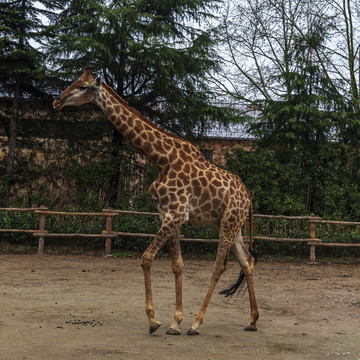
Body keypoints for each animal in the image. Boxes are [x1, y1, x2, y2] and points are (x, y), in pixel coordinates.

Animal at [52, 69, 258, 336]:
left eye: (83, 86)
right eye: (74, 81)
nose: (56, 101)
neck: (161, 158)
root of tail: (248, 197)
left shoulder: (177, 213)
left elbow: (147, 257)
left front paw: (154, 320)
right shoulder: (167, 214)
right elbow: (177, 265)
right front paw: (175, 322)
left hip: (229, 224)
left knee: (218, 268)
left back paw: (197, 323)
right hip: (231, 224)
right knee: (247, 262)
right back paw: (252, 320)